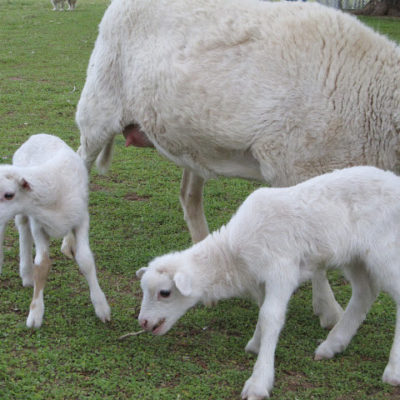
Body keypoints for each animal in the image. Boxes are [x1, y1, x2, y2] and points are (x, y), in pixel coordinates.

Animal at [0, 134, 111, 328]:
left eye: (9, 195)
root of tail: (37, 135)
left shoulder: (81, 220)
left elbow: (86, 260)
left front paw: (101, 306)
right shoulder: (38, 226)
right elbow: (42, 265)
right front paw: (35, 313)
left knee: (22, 227)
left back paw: (26, 275)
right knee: (20, 228)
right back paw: (24, 271)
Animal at [74, 0, 400, 330]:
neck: (371, 100)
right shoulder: (294, 169)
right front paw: (329, 311)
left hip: (190, 141)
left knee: (189, 197)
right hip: (98, 108)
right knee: (80, 162)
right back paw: (70, 246)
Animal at [136, 166, 400, 400]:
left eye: (165, 292)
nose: (144, 322)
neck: (233, 255)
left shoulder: (281, 270)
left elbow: (270, 316)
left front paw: (259, 381)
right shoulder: (261, 279)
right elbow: (263, 311)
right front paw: (256, 342)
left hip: (385, 250)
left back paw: (393, 369)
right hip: (356, 256)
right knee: (365, 292)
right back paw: (332, 345)